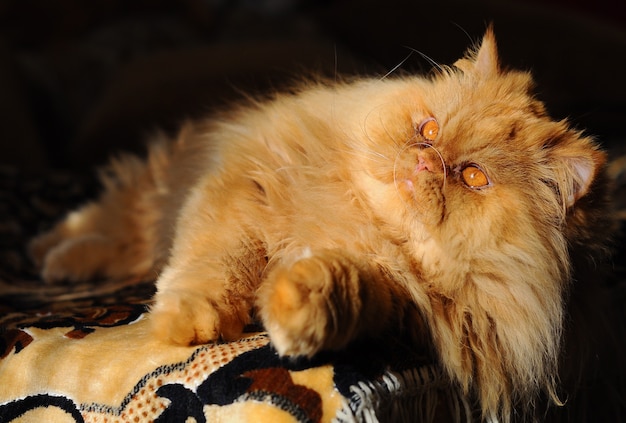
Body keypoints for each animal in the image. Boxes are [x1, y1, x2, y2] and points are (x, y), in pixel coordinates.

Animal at [28, 29, 608, 420]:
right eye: (428, 130)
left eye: (472, 177)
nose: (426, 161)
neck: (361, 217)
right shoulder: (238, 195)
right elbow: (216, 264)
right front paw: (189, 322)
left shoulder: (394, 295)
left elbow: (340, 286)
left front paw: (295, 310)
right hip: (152, 192)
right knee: (111, 220)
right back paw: (55, 255)